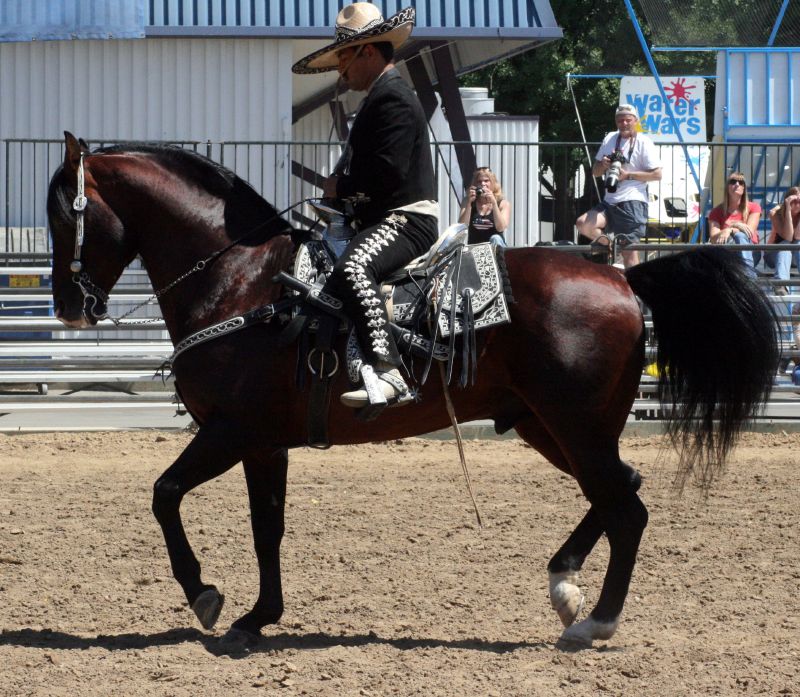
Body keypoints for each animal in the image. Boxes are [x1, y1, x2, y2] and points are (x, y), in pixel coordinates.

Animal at [47, 135, 780, 648]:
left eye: (62, 215)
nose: (69, 305)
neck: (245, 281)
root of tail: (625, 278)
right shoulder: (264, 444)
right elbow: (266, 527)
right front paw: (258, 616)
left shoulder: (230, 431)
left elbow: (165, 494)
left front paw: (205, 595)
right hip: (553, 426)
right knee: (622, 489)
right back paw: (565, 582)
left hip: (574, 426)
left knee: (626, 508)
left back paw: (592, 621)